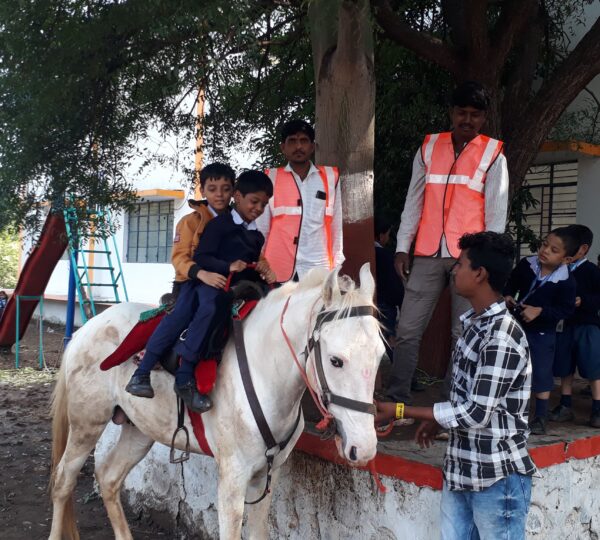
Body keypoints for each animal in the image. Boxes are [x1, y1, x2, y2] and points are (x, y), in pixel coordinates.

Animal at [49, 264, 386, 540]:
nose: (365, 448)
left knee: (108, 478)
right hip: (86, 424)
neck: (264, 372)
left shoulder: (267, 476)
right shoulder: (232, 479)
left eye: (380, 355)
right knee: (63, 480)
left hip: (138, 431)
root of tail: (87, 329)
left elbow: (259, 533)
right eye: (336, 360)